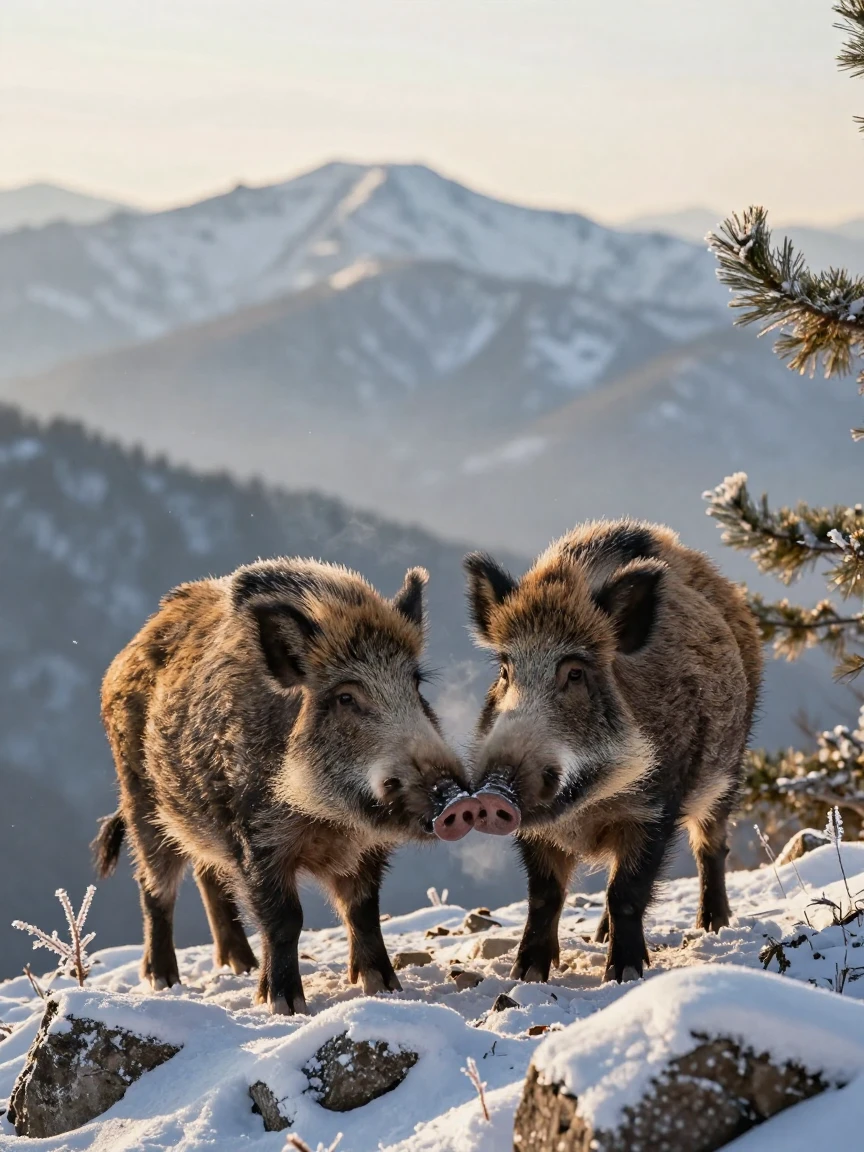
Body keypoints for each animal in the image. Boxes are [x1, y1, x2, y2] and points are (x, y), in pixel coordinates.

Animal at [93, 558, 479, 1014]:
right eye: (346, 697)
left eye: (416, 686)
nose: (455, 800)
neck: (327, 816)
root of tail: (123, 658)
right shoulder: (258, 836)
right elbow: (285, 917)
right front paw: (284, 1004)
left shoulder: (367, 846)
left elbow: (363, 909)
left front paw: (384, 987)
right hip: (142, 803)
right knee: (155, 886)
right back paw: (163, 980)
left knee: (209, 877)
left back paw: (240, 966)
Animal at [463, 520, 762, 984]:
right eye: (505, 670)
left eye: (575, 672)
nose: (495, 789)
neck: (589, 800)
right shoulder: (537, 830)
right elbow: (545, 894)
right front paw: (526, 974)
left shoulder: (656, 805)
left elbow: (627, 890)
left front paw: (624, 974)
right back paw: (600, 936)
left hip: (728, 769)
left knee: (711, 845)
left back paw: (713, 925)